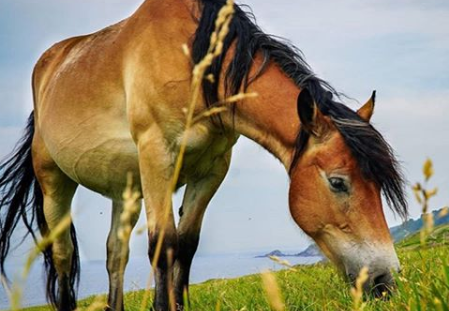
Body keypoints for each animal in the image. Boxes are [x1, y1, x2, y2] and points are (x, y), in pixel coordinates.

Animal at [0, 0, 406, 310]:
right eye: (338, 182)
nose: (385, 281)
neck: (195, 64)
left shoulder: (211, 171)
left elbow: (186, 245)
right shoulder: (157, 157)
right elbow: (163, 243)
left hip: (125, 188)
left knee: (115, 253)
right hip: (54, 182)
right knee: (64, 256)